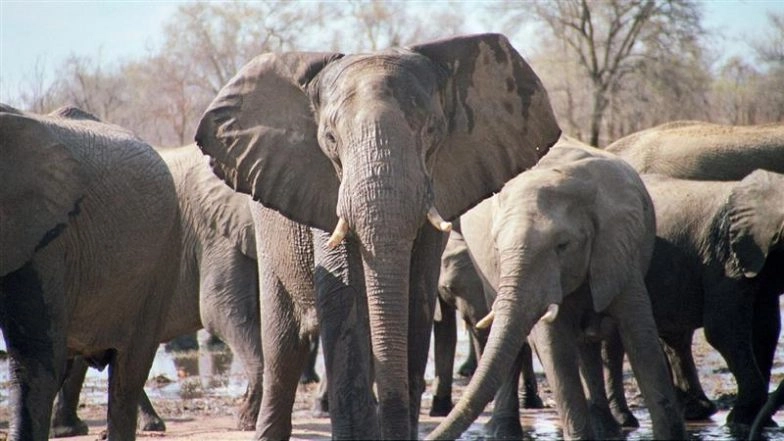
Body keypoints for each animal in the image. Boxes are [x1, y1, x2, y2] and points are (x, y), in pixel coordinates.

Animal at [195, 33, 561, 439]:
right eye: (330, 139)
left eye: (432, 132)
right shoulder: (323, 187)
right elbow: (347, 297)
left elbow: (417, 299)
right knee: (282, 349)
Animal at [427, 138, 685, 440]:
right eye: (497, 247)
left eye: (563, 246)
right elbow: (555, 348)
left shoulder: (620, 251)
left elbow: (642, 339)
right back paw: (503, 431)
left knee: (586, 344)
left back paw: (606, 427)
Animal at [603, 170, 784, 428]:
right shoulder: (726, 257)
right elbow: (723, 330)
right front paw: (739, 421)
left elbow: (765, 330)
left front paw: (759, 422)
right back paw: (626, 422)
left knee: (673, 336)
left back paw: (694, 413)